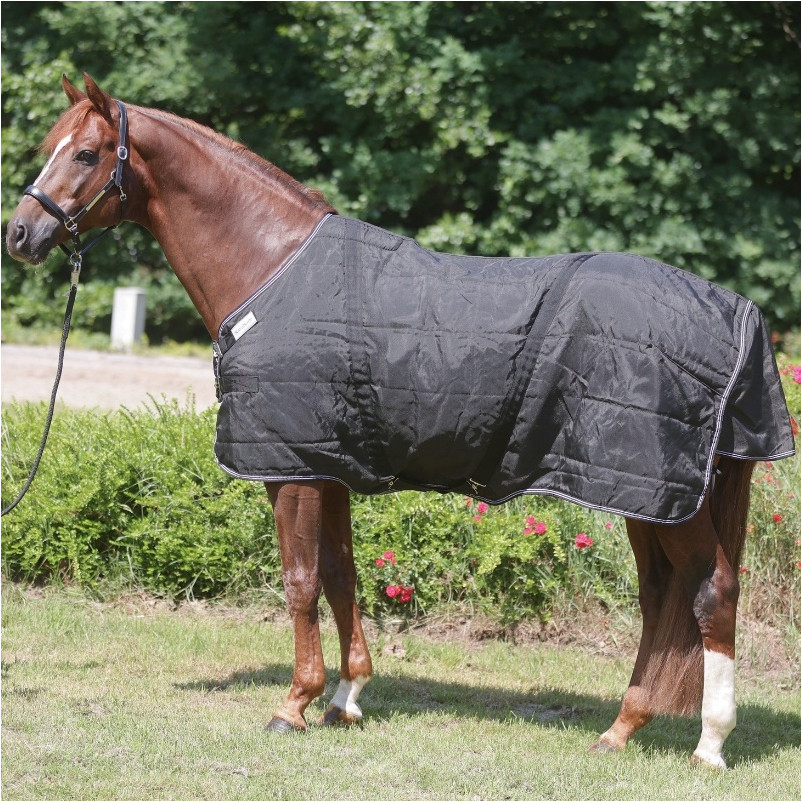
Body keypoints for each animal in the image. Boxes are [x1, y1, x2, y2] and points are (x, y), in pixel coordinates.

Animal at [6, 74, 794, 770]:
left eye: (86, 154)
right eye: (52, 144)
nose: (20, 233)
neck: (272, 268)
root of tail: (737, 313)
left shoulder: (290, 468)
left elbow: (299, 580)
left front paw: (293, 704)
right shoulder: (328, 464)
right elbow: (341, 573)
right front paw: (347, 697)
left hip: (657, 492)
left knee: (710, 591)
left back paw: (709, 745)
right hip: (643, 494)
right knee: (662, 597)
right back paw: (621, 729)